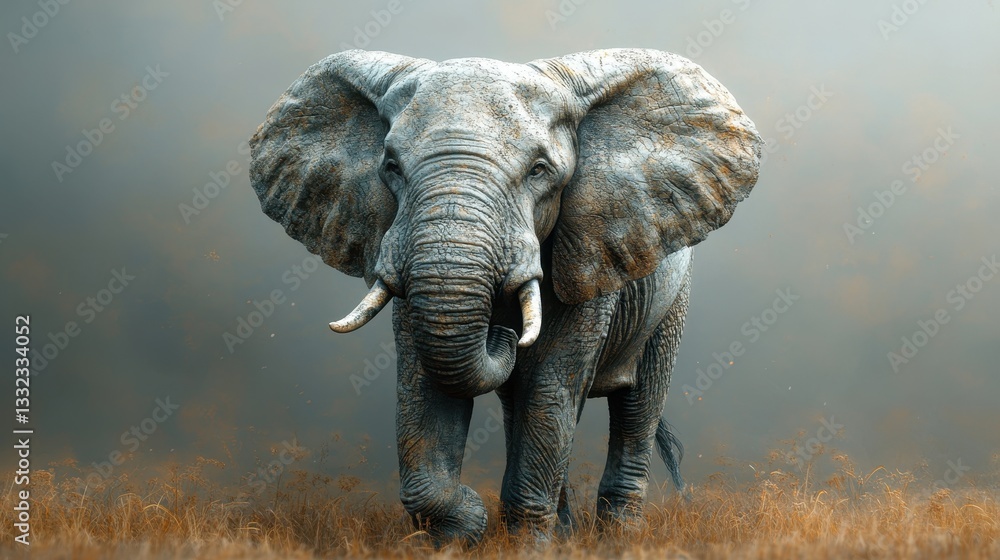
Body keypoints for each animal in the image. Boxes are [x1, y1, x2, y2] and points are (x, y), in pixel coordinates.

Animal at [249, 48, 762, 545]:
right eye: (391, 167)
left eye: (539, 170)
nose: (503, 334)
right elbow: (427, 386)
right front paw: (460, 532)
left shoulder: (587, 256)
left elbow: (550, 386)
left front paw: (525, 546)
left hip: (671, 299)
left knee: (637, 405)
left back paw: (620, 538)